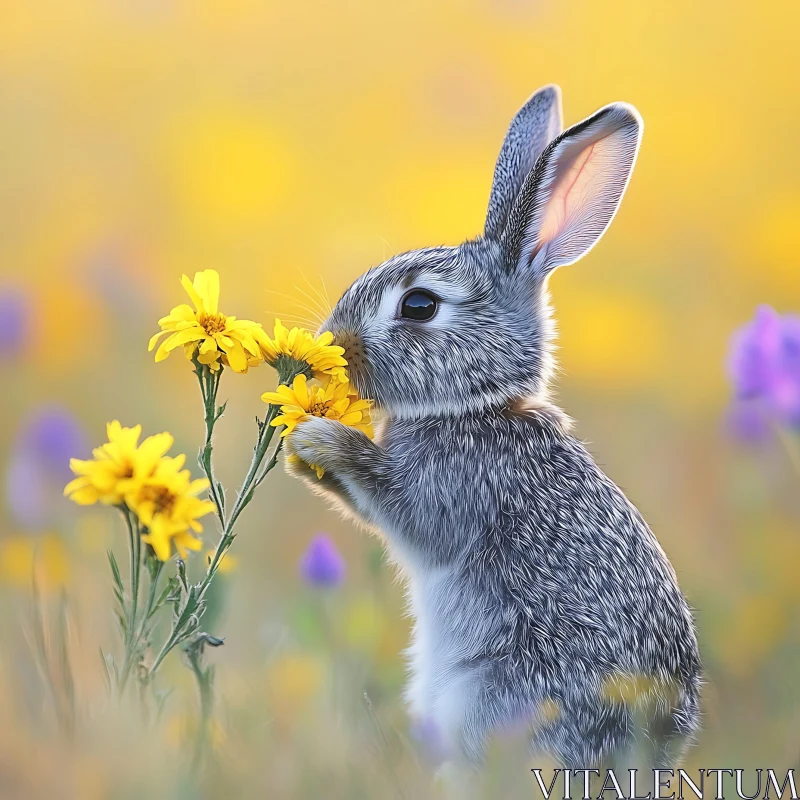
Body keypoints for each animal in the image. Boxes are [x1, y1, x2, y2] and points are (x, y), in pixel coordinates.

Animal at [286, 83, 700, 768]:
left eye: (419, 305)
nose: (332, 343)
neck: (479, 405)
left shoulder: (454, 492)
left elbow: (399, 505)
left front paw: (318, 439)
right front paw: (302, 452)